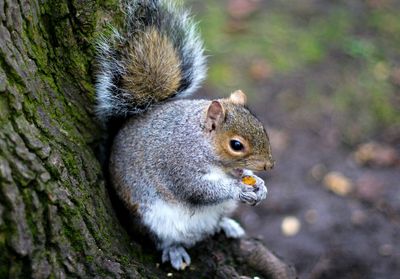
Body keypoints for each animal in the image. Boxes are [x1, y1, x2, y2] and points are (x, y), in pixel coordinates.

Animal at [96, 0, 276, 272]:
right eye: (236, 145)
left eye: (262, 127)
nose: (269, 165)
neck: (200, 141)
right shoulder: (179, 164)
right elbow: (198, 189)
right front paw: (237, 188)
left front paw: (259, 185)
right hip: (151, 219)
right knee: (162, 239)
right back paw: (174, 250)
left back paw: (227, 225)